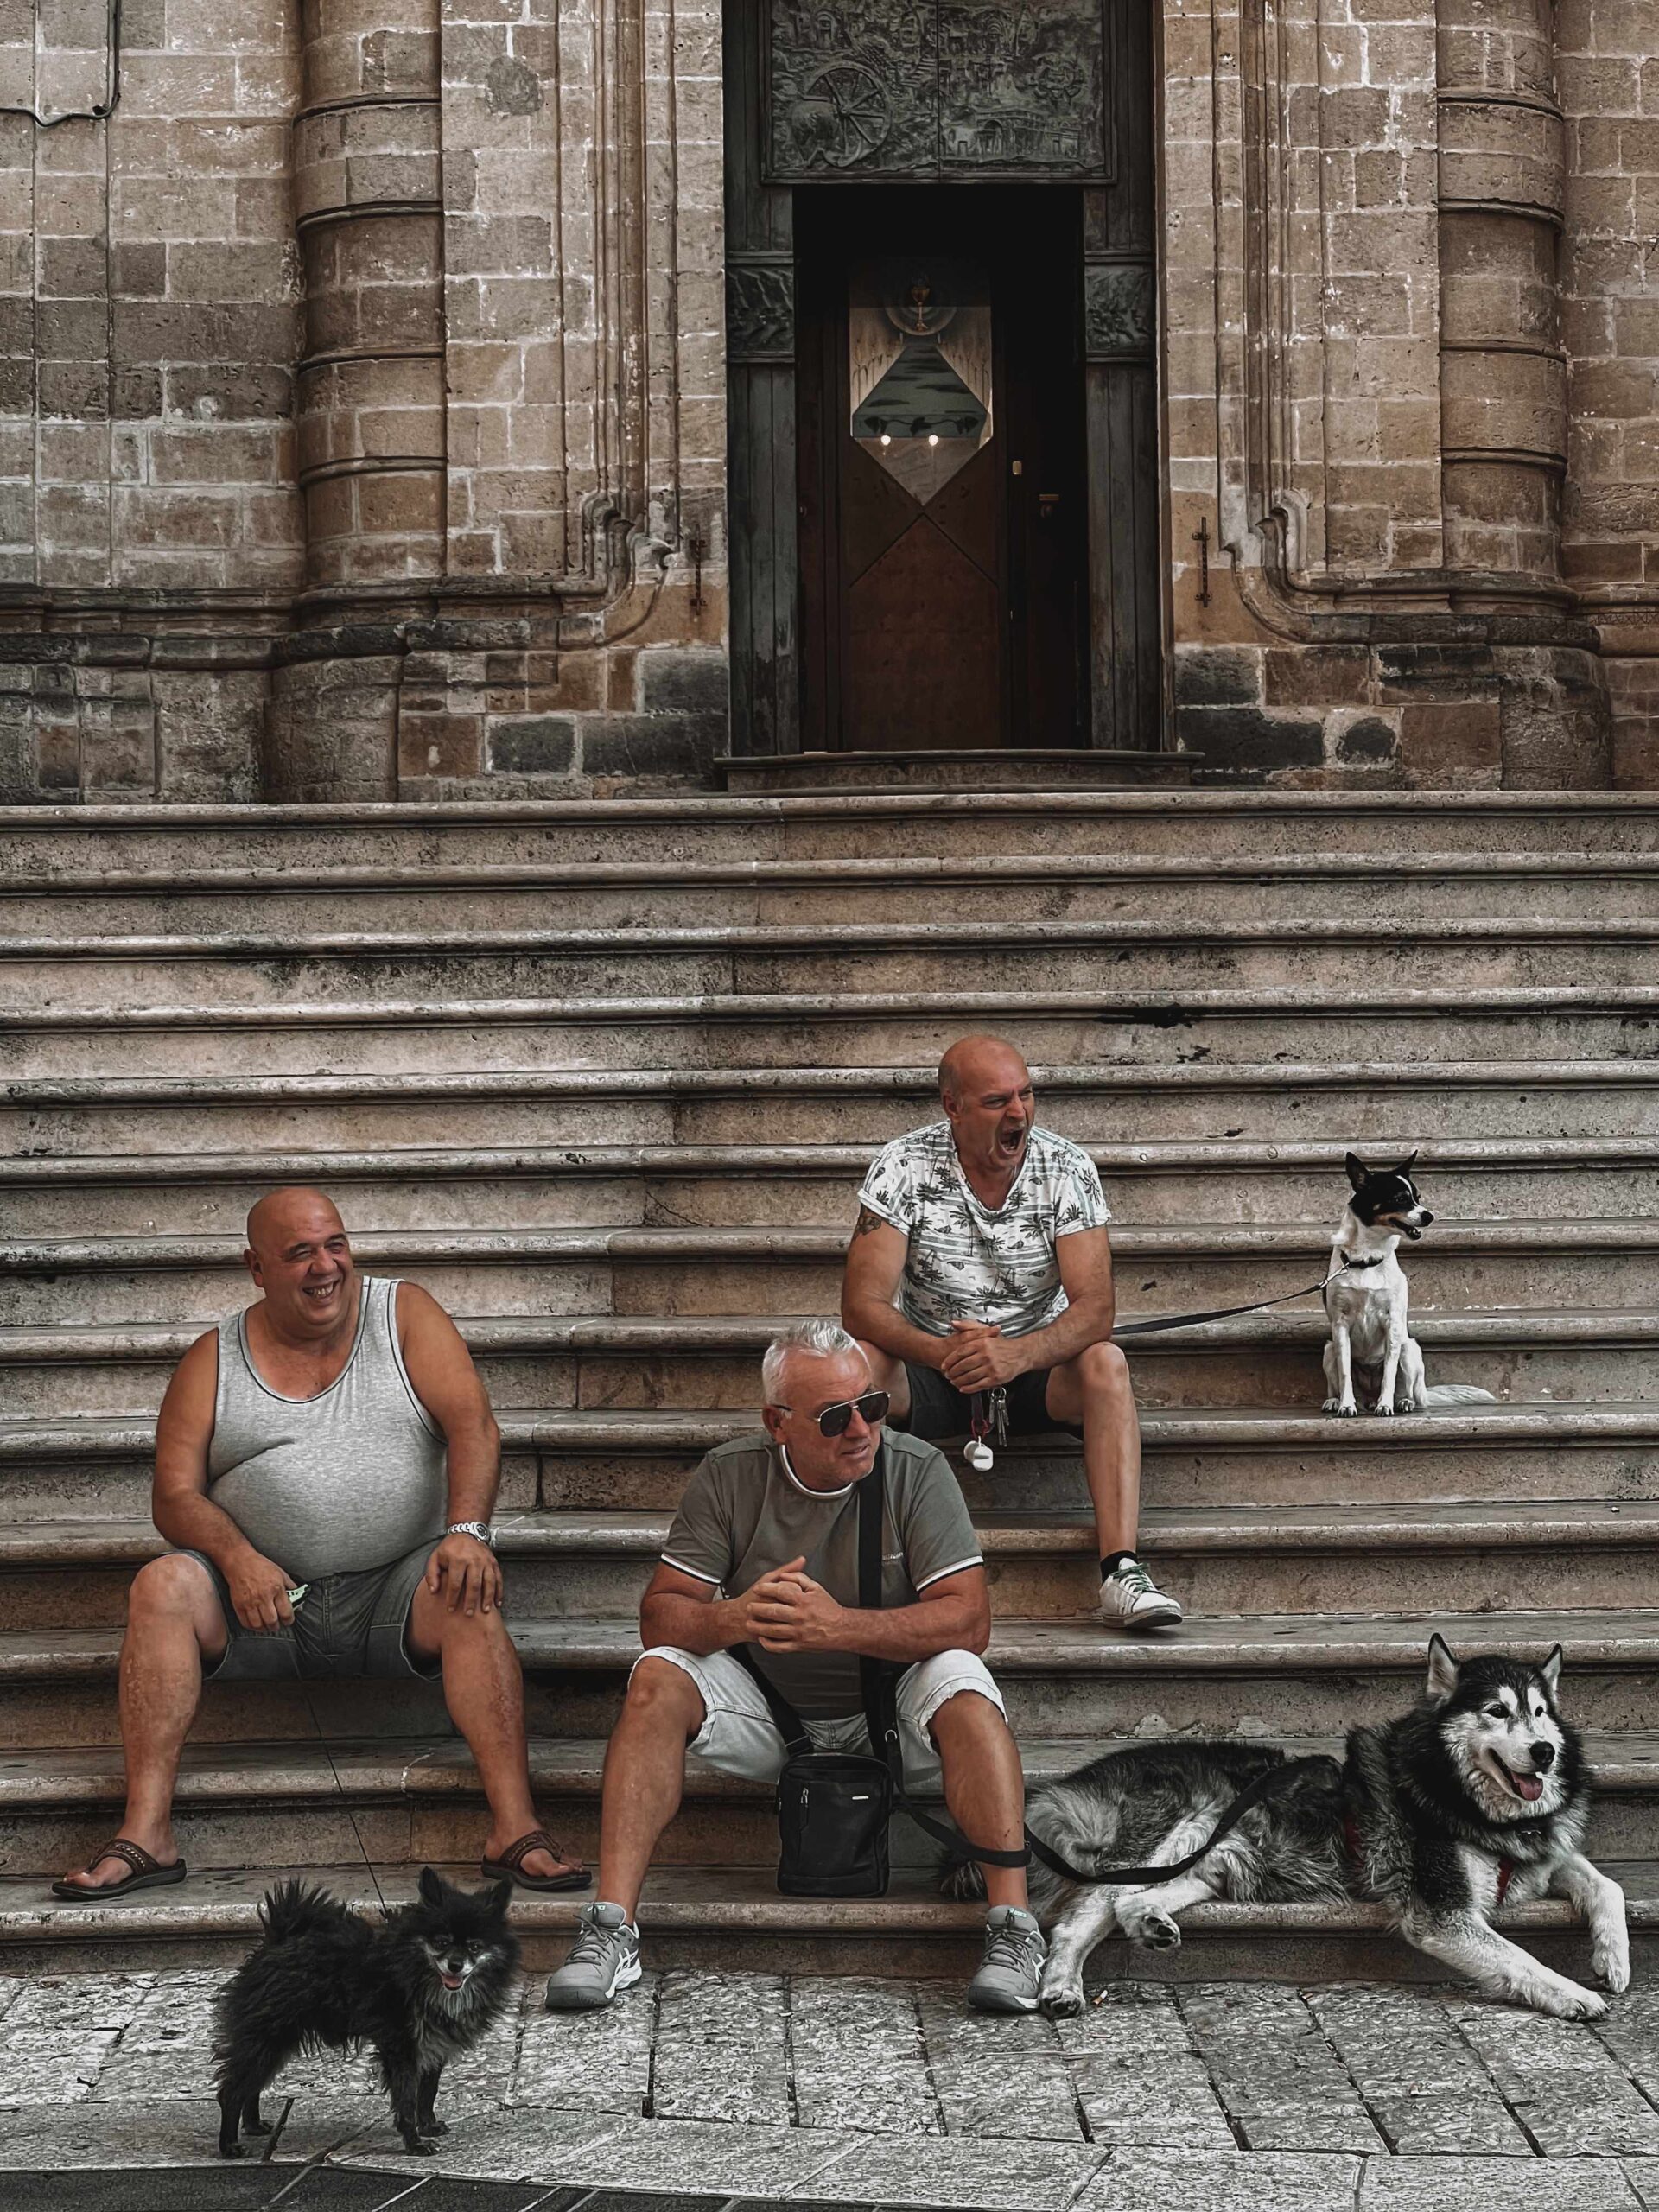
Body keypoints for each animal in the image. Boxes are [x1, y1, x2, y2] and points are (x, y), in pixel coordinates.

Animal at [213, 1867, 519, 2157]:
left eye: (475, 1947)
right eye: (441, 1942)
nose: (456, 1965)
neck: (419, 1976)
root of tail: (277, 1941)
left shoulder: (434, 2047)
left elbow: (427, 2093)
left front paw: (428, 2126)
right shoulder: (402, 2050)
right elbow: (407, 2101)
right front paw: (414, 2144)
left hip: (276, 2042)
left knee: (252, 2087)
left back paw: (253, 2126)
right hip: (270, 2036)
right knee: (233, 2091)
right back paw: (229, 2146)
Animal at [954, 1637, 1629, 2022]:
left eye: (1539, 1712)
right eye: (1496, 1711)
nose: (1544, 1752)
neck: (1461, 1798)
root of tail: (1079, 1778)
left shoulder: (1543, 1858)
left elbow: (1606, 1884)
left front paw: (1613, 1959)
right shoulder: (1441, 1913)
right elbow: (1518, 1956)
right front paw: (1573, 1992)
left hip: (1216, 1859)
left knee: (1131, 1904)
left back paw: (1150, 1925)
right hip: (1167, 1834)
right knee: (1084, 1914)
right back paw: (1062, 1984)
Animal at [1322, 1152, 1495, 1416]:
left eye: (1418, 1197)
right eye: (1401, 1199)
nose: (1430, 1216)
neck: (1367, 1259)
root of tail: (1368, 1397)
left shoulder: (1392, 1323)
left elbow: (1390, 1374)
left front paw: (1385, 1405)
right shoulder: (1340, 1325)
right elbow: (1344, 1374)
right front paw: (1346, 1405)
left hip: (1409, 1349)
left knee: (1407, 1388)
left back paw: (1402, 1402)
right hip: (1329, 1349)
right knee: (1338, 1380)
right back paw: (1336, 1400)